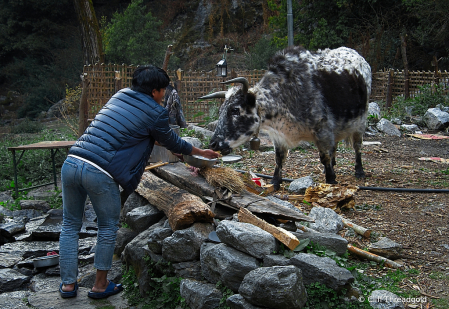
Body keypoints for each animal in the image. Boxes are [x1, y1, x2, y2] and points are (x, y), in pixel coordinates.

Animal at [200, 44, 372, 189]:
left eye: (235, 110)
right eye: (221, 110)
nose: (213, 144)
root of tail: (357, 55)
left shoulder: (322, 130)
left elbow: (324, 157)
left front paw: (330, 179)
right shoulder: (279, 136)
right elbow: (279, 158)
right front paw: (276, 181)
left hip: (360, 122)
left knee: (357, 146)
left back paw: (359, 170)